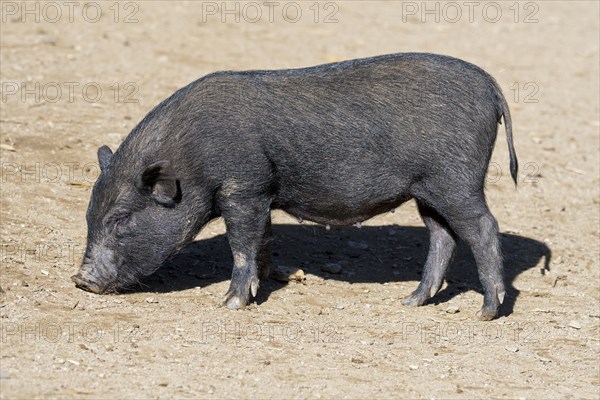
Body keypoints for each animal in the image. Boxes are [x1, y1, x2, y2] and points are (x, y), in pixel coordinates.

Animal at [74, 54, 516, 322]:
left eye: (122, 219)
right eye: (90, 214)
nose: (81, 280)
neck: (191, 157)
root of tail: (491, 85)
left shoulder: (244, 187)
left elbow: (241, 244)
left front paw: (230, 304)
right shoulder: (262, 195)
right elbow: (262, 239)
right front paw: (268, 279)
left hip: (456, 181)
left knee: (483, 228)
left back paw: (486, 312)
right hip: (427, 192)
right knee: (443, 237)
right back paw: (409, 301)